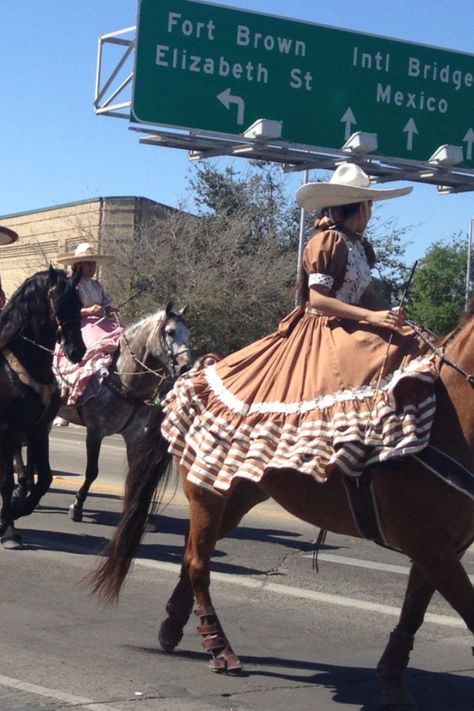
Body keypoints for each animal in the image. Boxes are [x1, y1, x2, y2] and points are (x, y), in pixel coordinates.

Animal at [0, 268, 84, 552]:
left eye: (79, 304)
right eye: (58, 303)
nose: (77, 350)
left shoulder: (38, 430)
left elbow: (45, 478)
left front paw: (18, 509)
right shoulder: (7, 431)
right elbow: (6, 482)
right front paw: (8, 529)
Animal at [89, 304, 474, 708]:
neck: (450, 419)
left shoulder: (442, 548)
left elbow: (414, 611)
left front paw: (392, 682)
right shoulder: (429, 545)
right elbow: (466, 611)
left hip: (238, 496)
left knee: (192, 555)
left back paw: (173, 627)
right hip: (206, 492)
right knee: (197, 563)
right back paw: (219, 648)